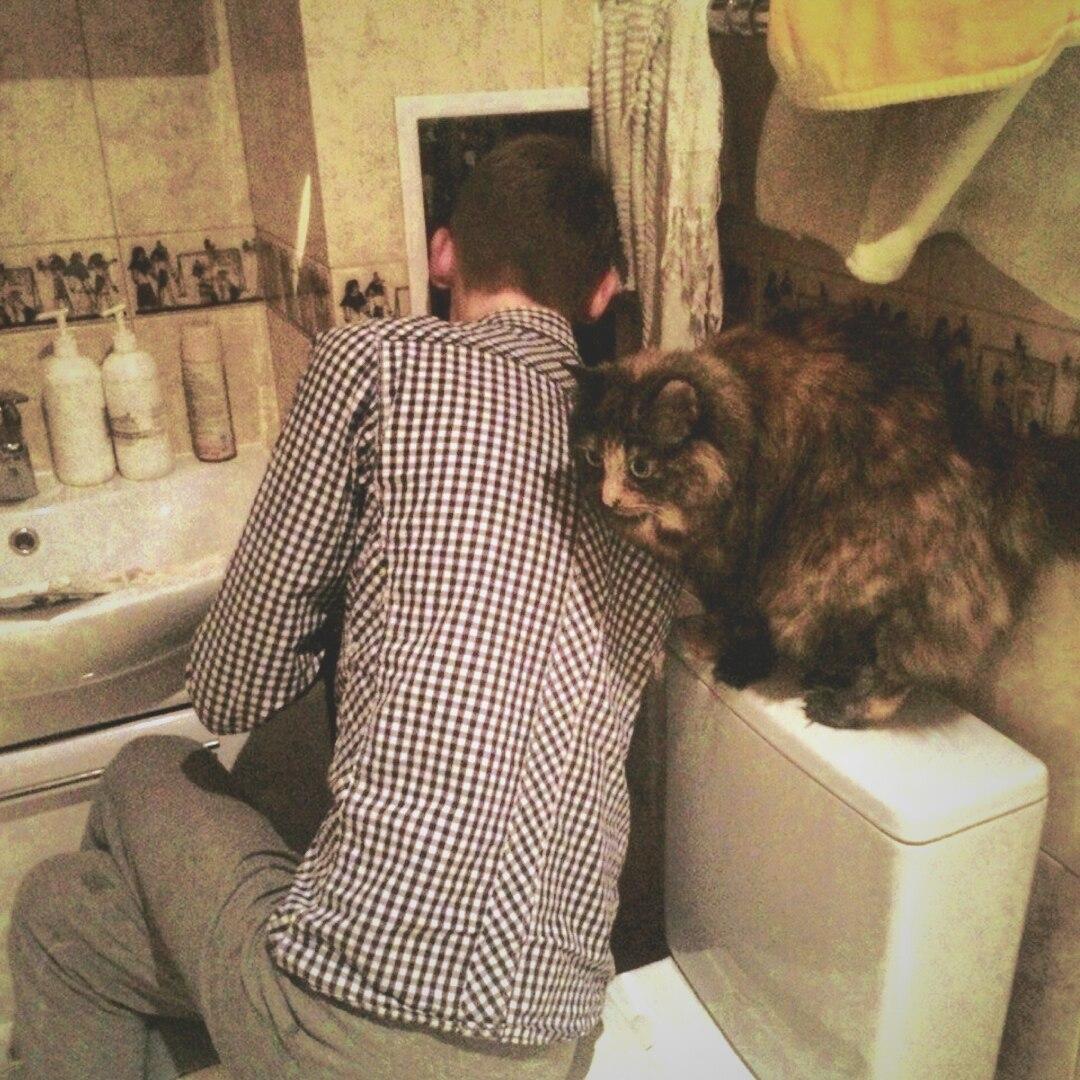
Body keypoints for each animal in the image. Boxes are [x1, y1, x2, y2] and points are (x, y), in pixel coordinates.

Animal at [570, 307, 1080, 728]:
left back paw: (840, 706)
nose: (607, 497)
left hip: (828, 577)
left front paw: (738, 663)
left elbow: (744, 621)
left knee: (898, 668)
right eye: (593, 457)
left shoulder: (743, 559)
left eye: (640, 466)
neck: (743, 415)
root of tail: (1006, 455)